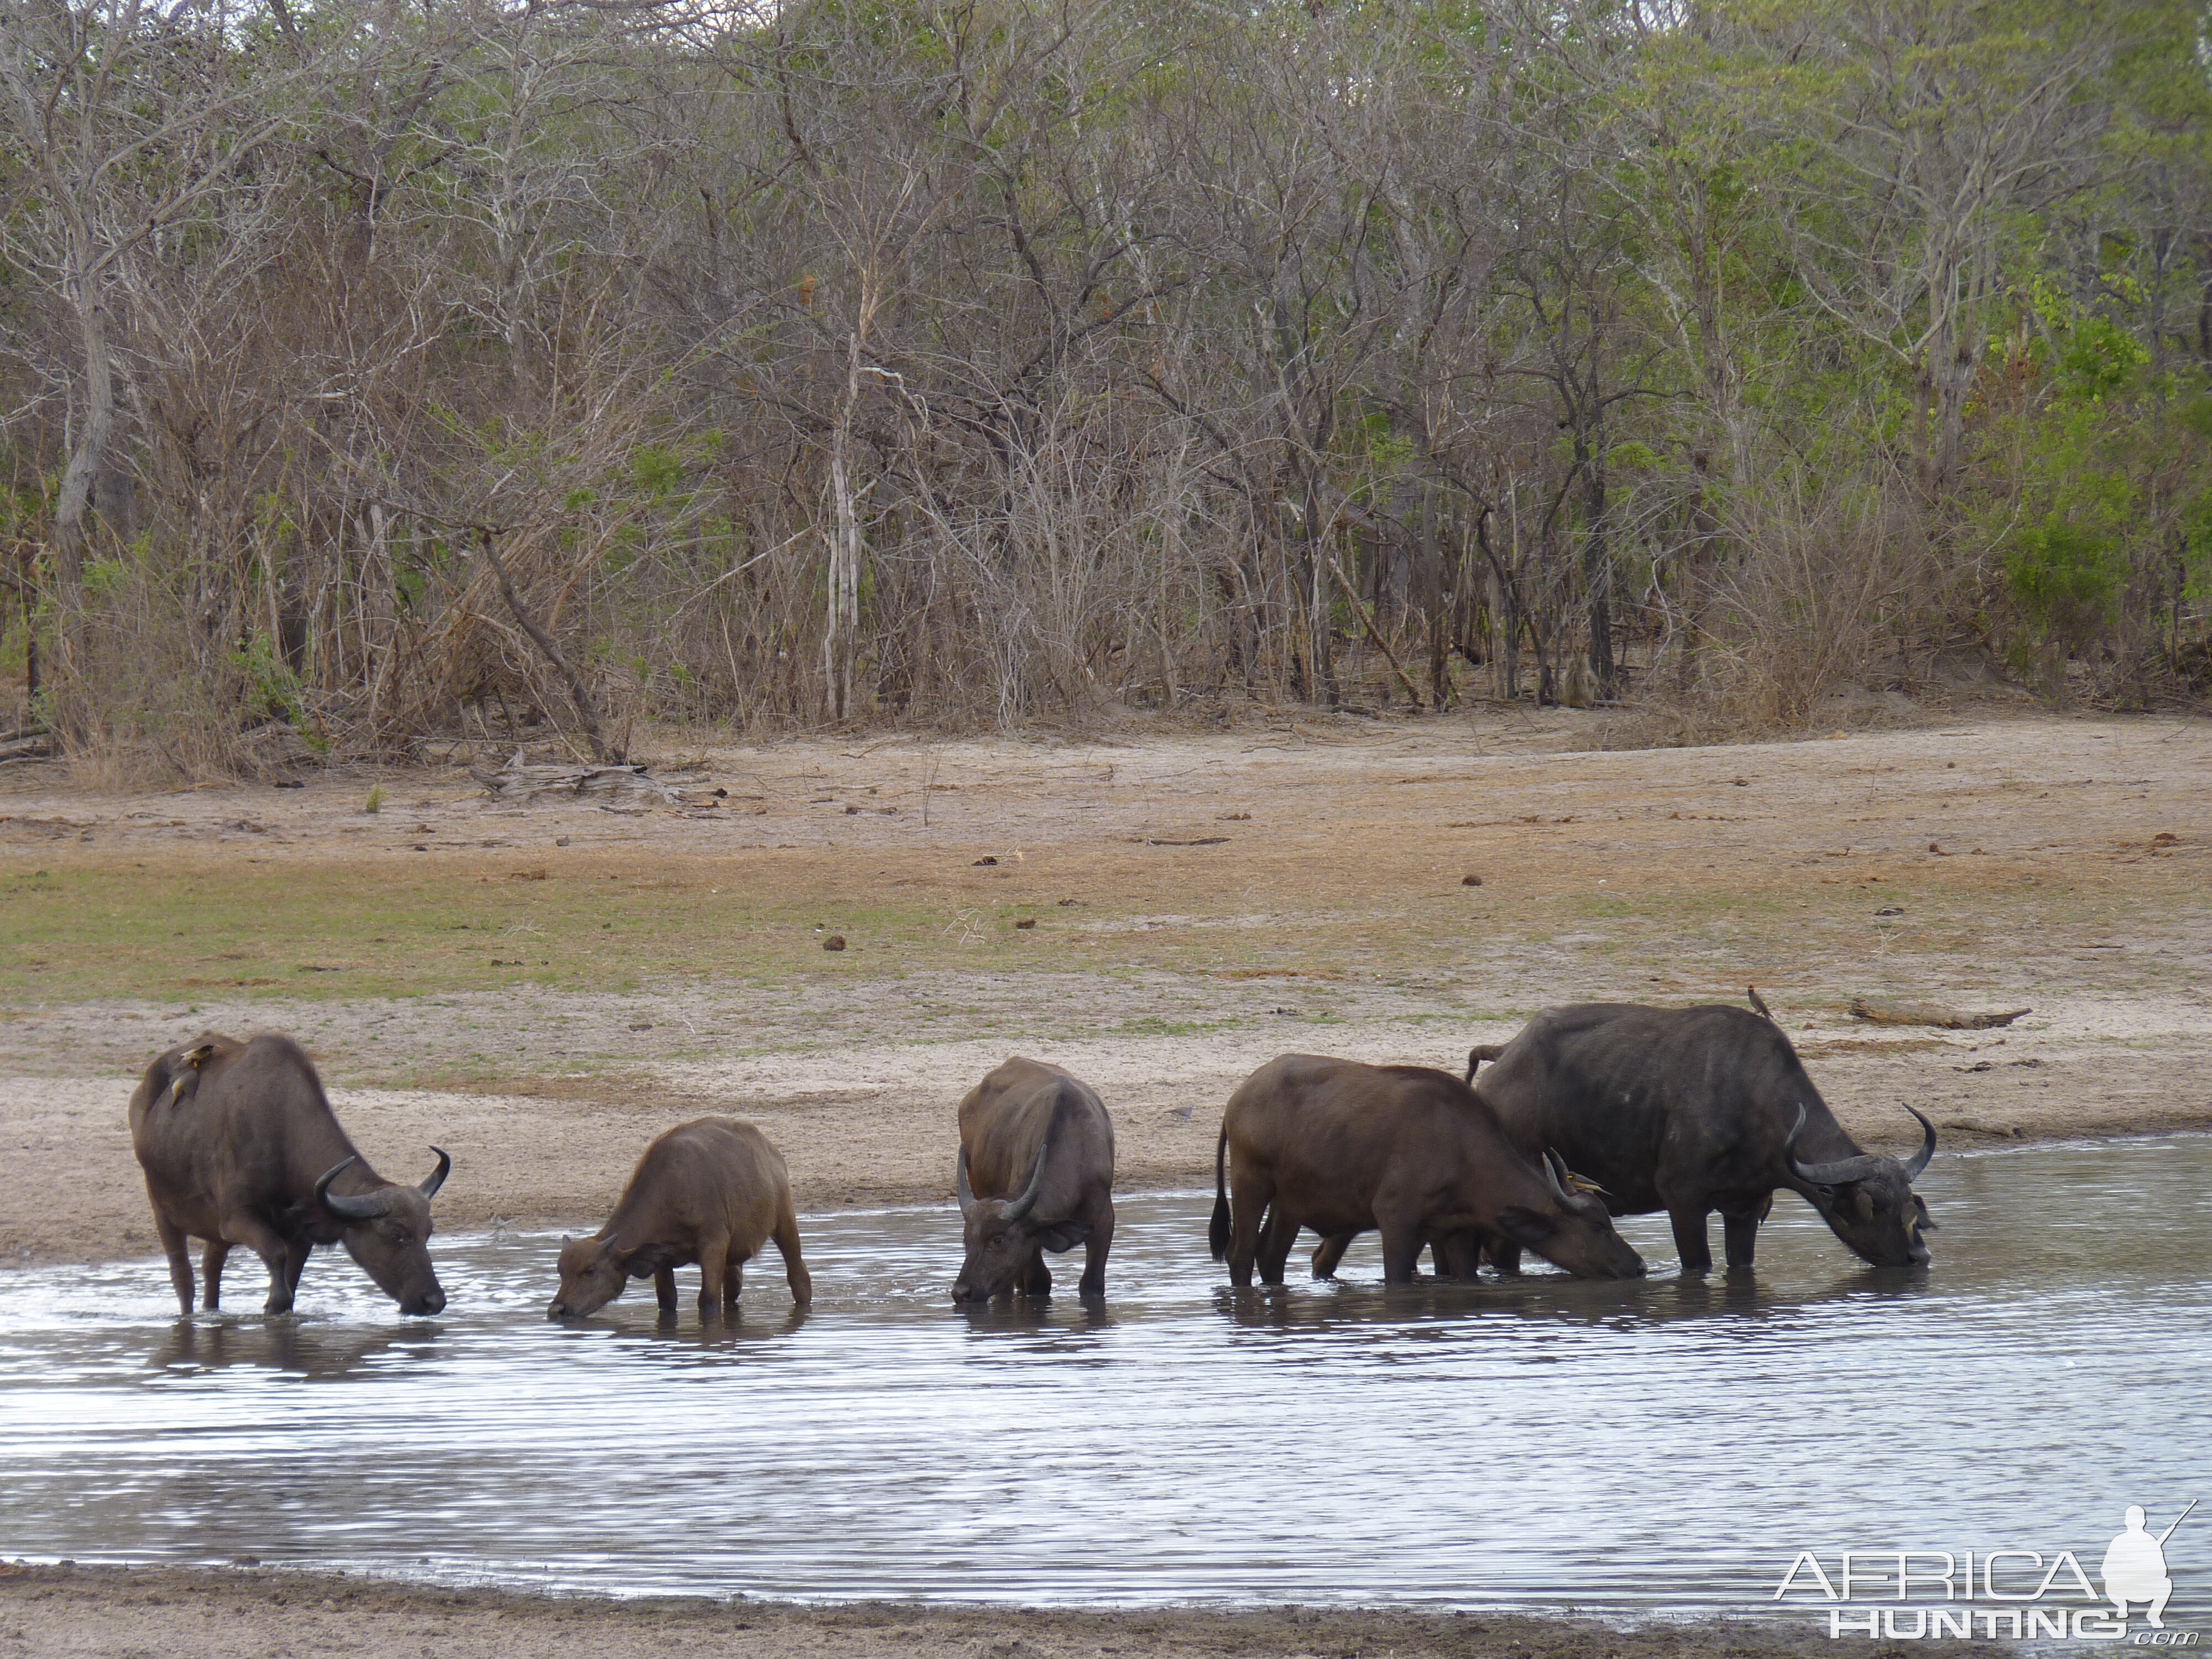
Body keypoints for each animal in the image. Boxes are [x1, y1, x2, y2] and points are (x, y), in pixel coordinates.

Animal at [127, 1035, 453, 1318]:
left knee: (212, 1270)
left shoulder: (300, 1233)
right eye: (397, 1235)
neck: (281, 1134)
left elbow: (291, 1281)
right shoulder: (238, 1219)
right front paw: (273, 1303)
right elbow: (276, 1258)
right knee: (183, 1278)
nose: (434, 1302)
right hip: (163, 1212)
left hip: (214, 1233)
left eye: (428, 1233)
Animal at [546, 1119, 814, 1327]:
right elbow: (667, 1301)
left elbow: (708, 1300)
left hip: (785, 1222)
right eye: (561, 1272)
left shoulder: (713, 1244)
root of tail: (770, 1150)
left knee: (798, 1276)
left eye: (590, 1271)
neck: (670, 1189)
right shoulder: (662, 1258)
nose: (557, 1310)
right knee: (733, 1286)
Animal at [956, 1057, 1115, 1310]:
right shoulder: (1031, 1240)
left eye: (998, 1240)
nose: (961, 1292)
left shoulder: (1103, 1222)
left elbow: (1092, 1286)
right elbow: (1039, 1283)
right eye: (966, 1239)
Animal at [1212, 1057, 1646, 1292]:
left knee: (1270, 1257)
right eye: (1598, 1227)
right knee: (1241, 1253)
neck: (1460, 1147)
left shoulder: (1456, 1232)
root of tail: (1239, 1098)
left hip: (1290, 1204)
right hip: (1251, 1183)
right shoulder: (1396, 1222)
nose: (1638, 1267)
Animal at [1469, 1000, 1938, 1274]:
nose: (1919, 1256)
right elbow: (1698, 1266)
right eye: (1873, 1205)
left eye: (1910, 1202)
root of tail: (1503, 1061)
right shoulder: (1683, 1202)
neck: (1751, 1101)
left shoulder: (1745, 1209)